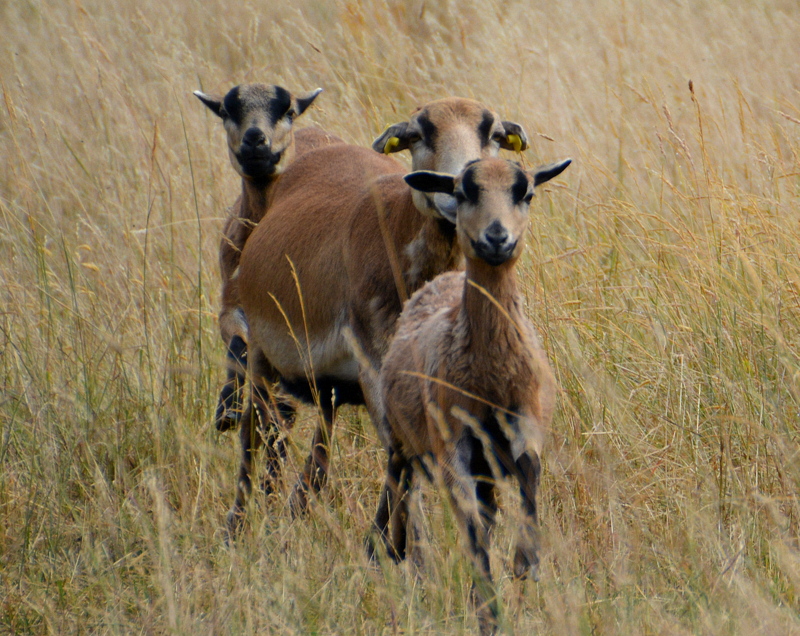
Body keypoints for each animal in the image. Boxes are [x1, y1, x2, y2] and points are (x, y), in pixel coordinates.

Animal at [374, 157, 568, 632]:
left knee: (486, 511)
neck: (492, 375)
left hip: (483, 467)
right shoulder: (452, 446)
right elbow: (473, 535)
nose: (497, 237)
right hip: (402, 442)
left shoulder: (526, 424)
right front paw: (490, 612)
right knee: (402, 497)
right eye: (463, 192)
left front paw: (525, 562)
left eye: (526, 193)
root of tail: (446, 279)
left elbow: (530, 479)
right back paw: (395, 553)